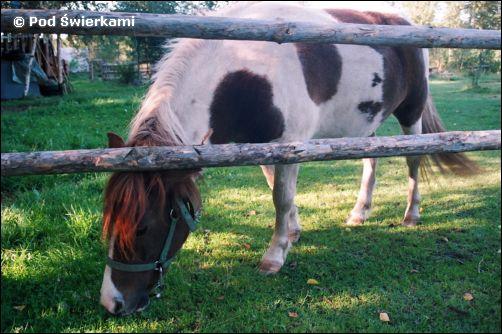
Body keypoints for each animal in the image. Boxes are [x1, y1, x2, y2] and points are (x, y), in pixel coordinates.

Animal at [99, 2, 478, 316]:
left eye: (143, 226)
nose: (112, 303)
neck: (246, 70)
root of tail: (404, 21)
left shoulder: (289, 144)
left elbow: (280, 197)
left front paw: (274, 256)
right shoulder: (264, 145)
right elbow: (278, 192)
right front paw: (293, 233)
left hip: (411, 112)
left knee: (414, 159)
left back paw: (411, 214)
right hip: (365, 122)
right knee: (371, 161)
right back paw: (360, 212)